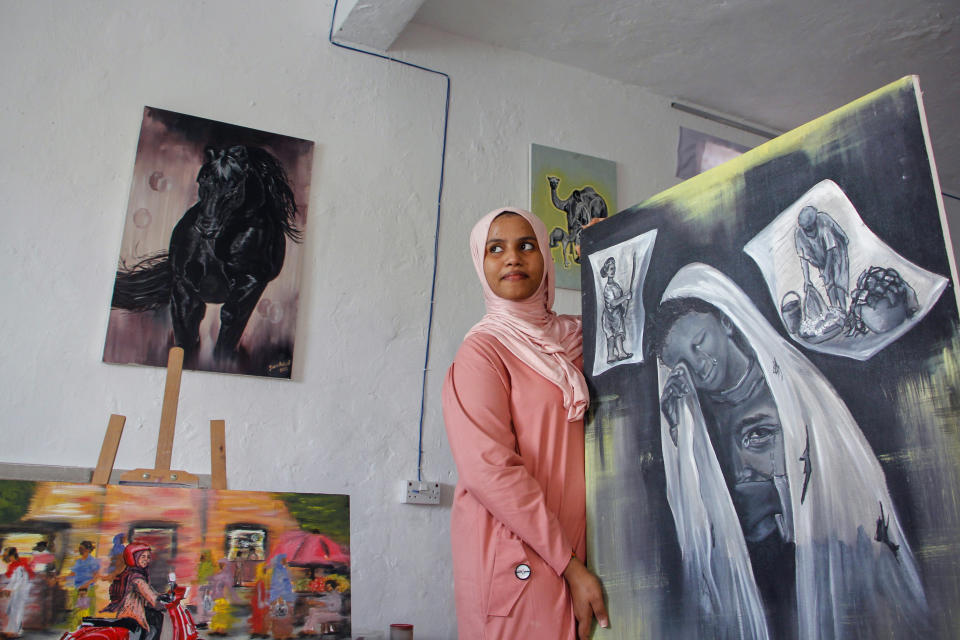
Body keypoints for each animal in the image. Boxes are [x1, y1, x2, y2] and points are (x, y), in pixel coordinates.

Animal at [113, 146, 300, 362]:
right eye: (203, 180)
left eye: (233, 187)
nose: (205, 225)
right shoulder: (183, 283)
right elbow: (186, 324)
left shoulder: (252, 281)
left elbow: (230, 318)